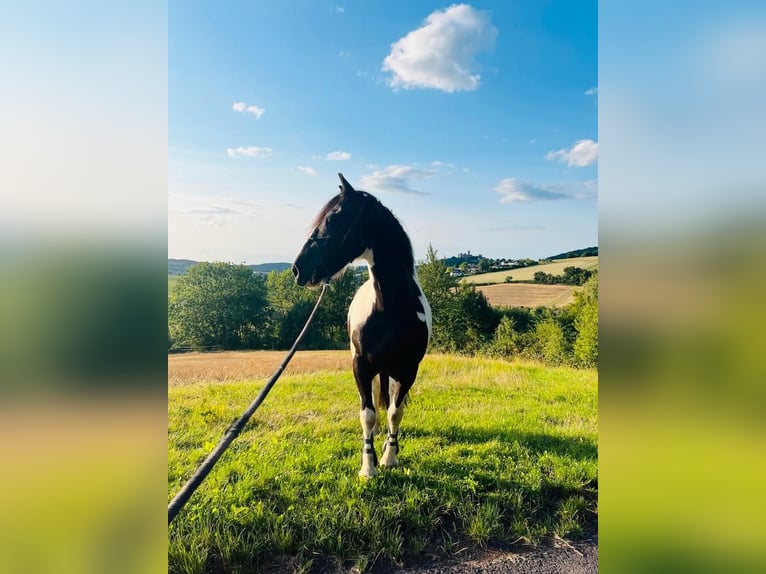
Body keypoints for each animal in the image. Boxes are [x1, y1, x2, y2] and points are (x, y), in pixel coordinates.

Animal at [292, 173, 432, 477]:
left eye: (332, 218)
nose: (297, 269)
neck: (389, 308)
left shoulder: (408, 370)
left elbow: (395, 412)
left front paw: (389, 457)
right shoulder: (361, 366)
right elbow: (367, 414)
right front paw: (368, 466)